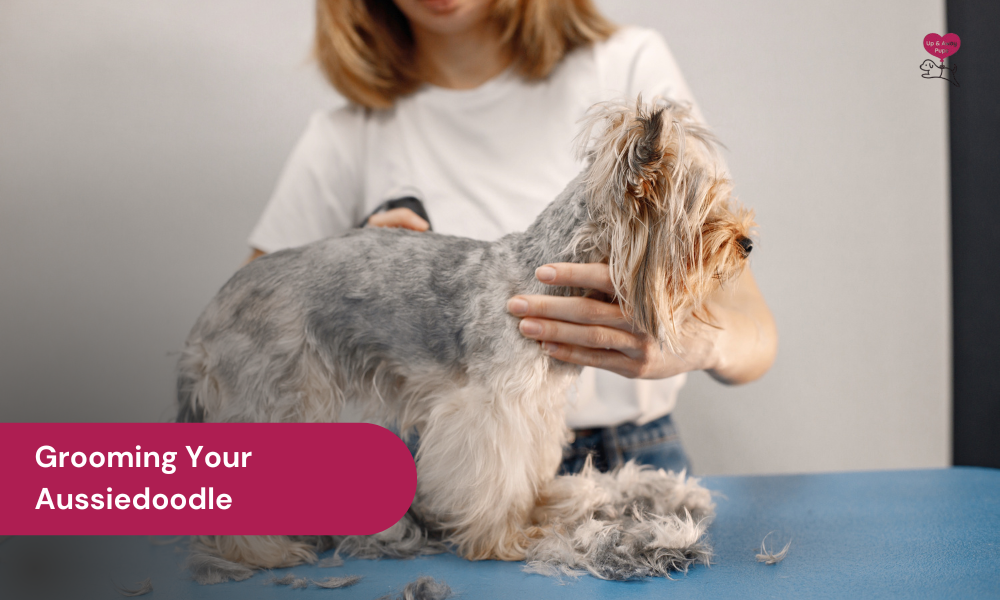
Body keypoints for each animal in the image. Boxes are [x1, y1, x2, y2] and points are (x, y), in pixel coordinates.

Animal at [180, 97, 752, 580]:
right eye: (705, 215)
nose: (748, 241)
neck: (538, 269)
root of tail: (210, 314)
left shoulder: (537, 406)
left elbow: (527, 470)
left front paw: (536, 511)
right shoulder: (492, 407)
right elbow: (495, 474)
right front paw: (503, 537)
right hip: (271, 395)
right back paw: (263, 551)